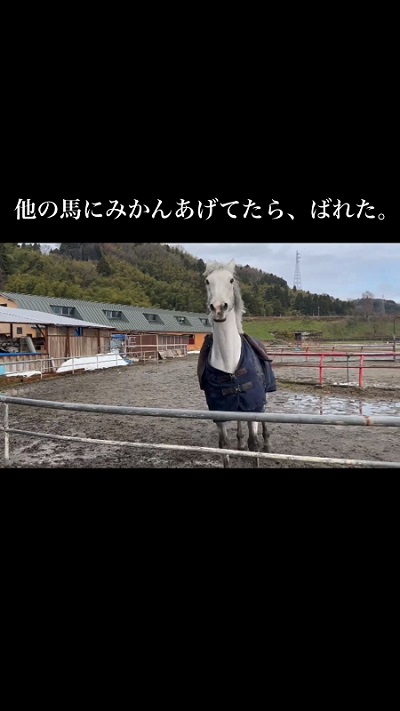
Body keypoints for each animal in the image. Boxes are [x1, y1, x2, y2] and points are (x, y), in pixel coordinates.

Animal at [197, 260, 276, 468]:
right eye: (207, 281)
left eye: (231, 280)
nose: (218, 308)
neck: (229, 360)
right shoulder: (219, 411)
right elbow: (223, 445)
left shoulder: (254, 405)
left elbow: (254, 443)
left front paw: (258, 446)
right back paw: (240, 443)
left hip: (264, 397)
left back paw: (267, 443)